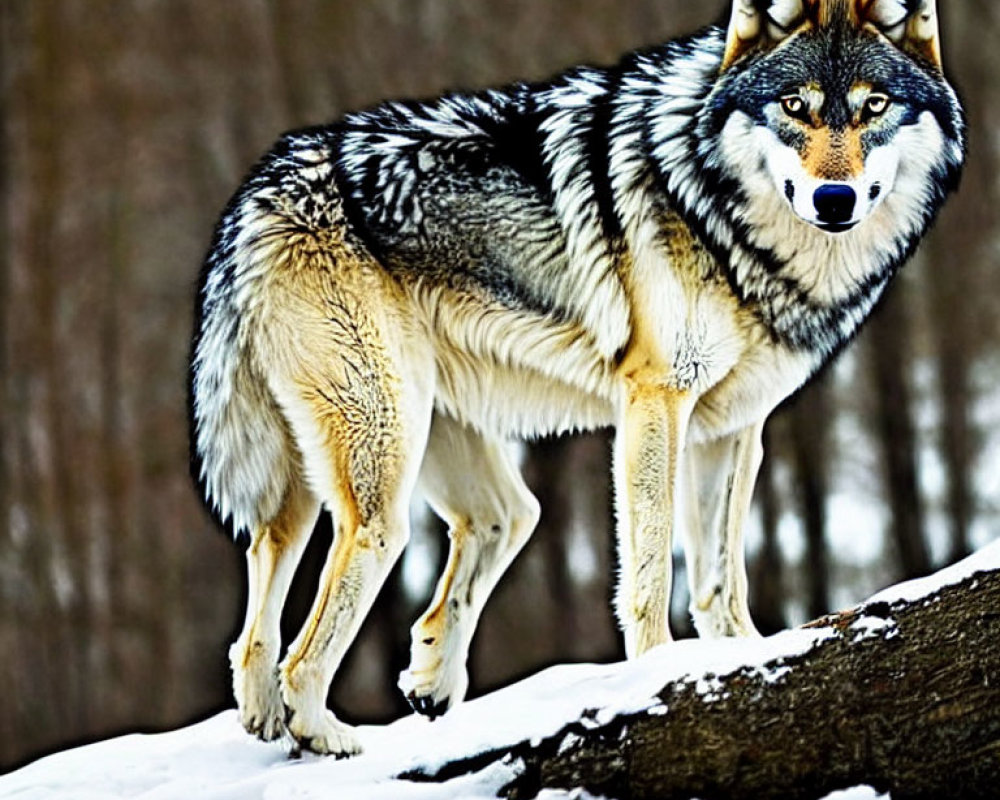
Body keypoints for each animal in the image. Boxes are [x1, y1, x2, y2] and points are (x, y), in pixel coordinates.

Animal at [188, 0, 960, 756]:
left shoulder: (732, 427)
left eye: (874, 106)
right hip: (382, 472)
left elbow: (720, 581)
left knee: (310, 571)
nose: (835, 198)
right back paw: (321, 730)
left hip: (399, 452)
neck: (716, 210)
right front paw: (657, 672)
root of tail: (259, 190)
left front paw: (742, 658)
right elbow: (652, 570)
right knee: (322, 614)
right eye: (795, 107)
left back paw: (332, 705)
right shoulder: (657, 402)